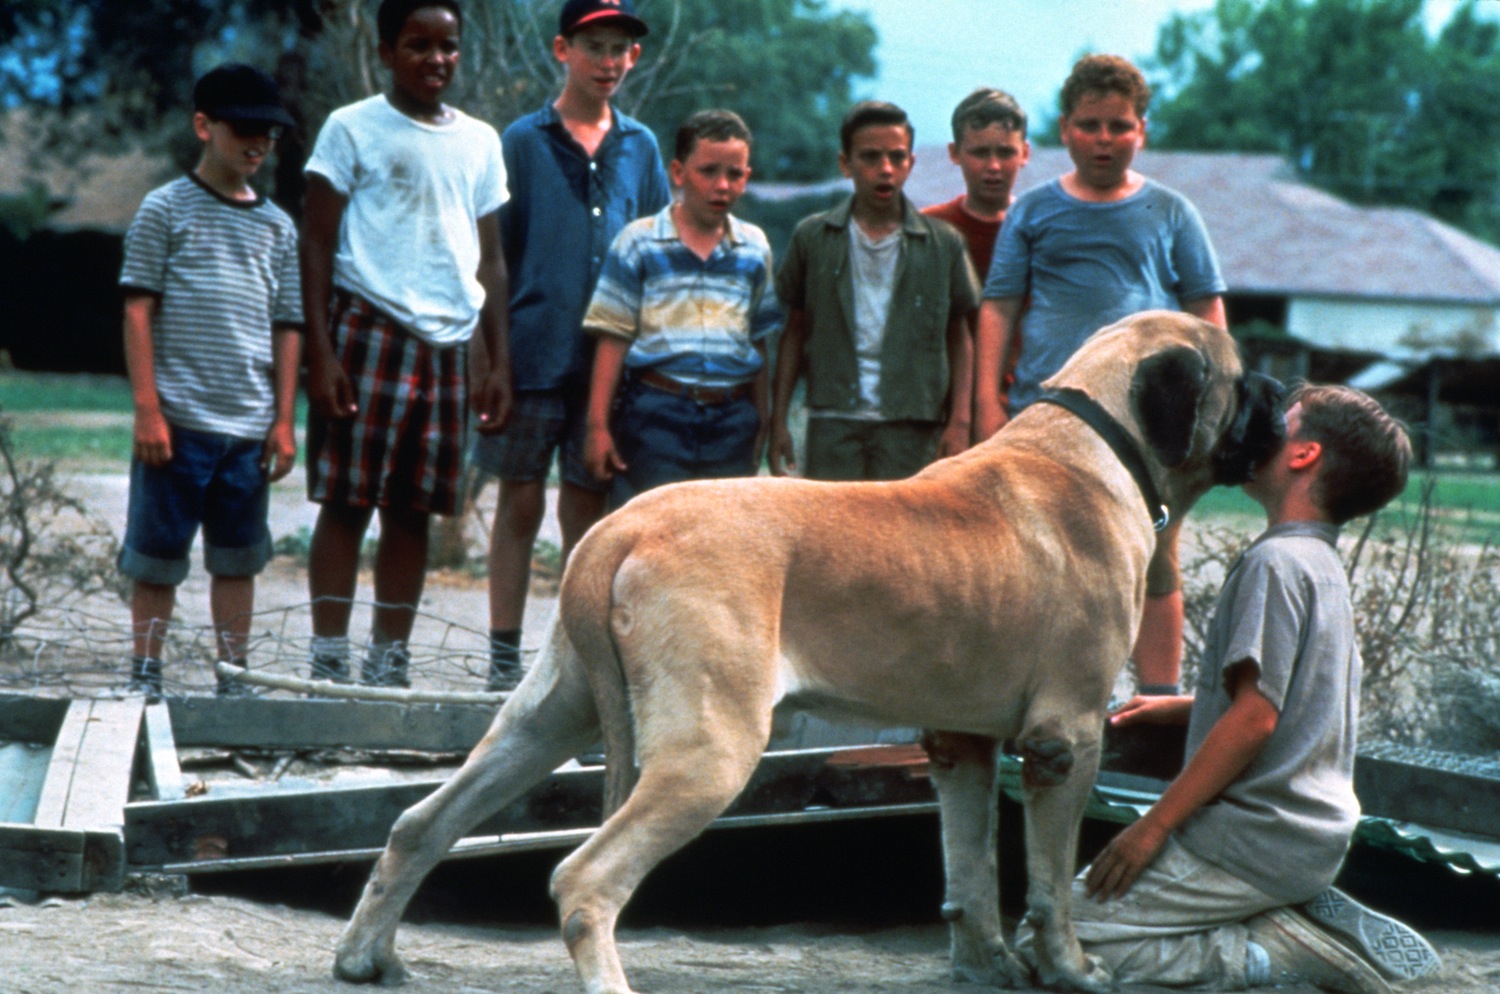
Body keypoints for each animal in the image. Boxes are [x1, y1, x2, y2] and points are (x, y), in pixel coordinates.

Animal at [334, 313, 1284, 994]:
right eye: (1242, 381)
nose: (1286, 388)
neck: (1093, 443)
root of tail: (619, 529)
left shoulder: (961, 745)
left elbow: (972, 870)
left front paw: (985, 966)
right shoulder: (1068, 741)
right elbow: (1050, 882)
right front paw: (1069, 970)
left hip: (547, 716)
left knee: (422, 824)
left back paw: (365, 957)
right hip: (711, 752)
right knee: (584, 879)